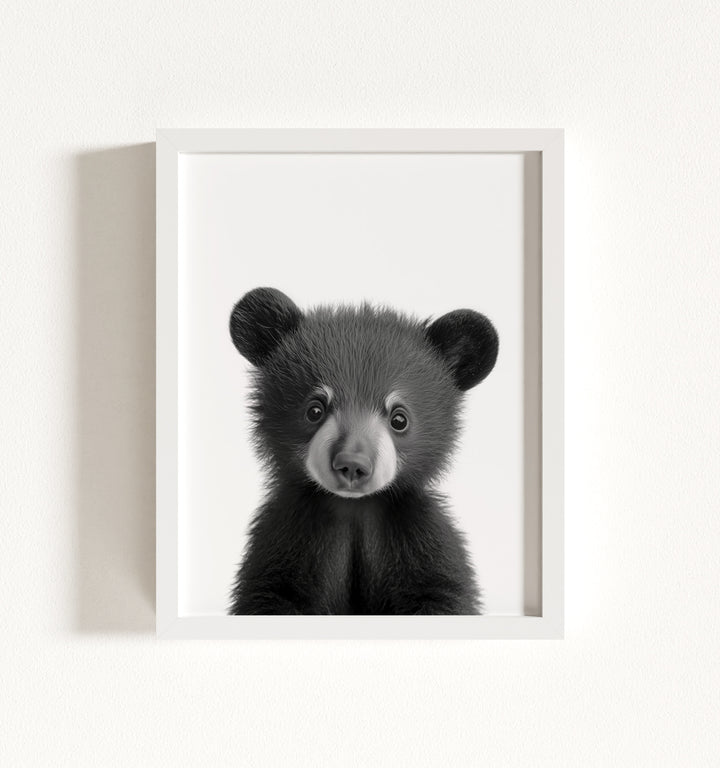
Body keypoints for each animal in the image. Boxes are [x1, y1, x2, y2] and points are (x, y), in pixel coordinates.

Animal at [227, 287, 499, 615]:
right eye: (315, 410)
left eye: (399, 419)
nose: (352, 465)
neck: (354, 508)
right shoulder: (289, 537)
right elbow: (272, 592)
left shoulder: (416, 533)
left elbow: (442, 590)